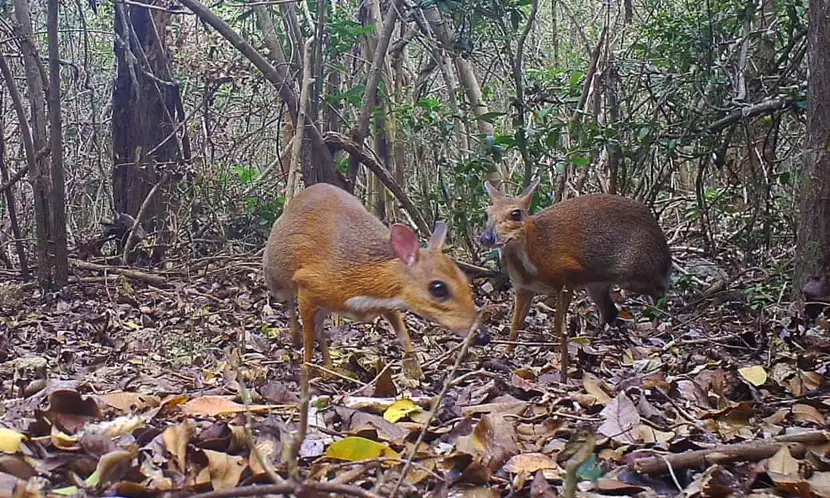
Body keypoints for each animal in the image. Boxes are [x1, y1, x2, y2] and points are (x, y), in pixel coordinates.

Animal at [264, 184, 478, 382]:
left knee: (318, 327)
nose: (481, 334)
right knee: (290, 302)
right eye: (438, 288)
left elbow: (403, 334)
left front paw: (417, 371)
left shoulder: (388, 302)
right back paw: (296, 339)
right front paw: (307, 370)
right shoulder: (307, 283)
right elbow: (308, 338)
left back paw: (329, 367)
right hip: (275, 278)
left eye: (464, 279)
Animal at [480, 181, 668, 380]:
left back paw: (657, 324)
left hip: (634, 272)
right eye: (487, 213)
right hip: (596, 285)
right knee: (611, 311)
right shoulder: (523, 289)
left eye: (516, 213)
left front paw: (557, 354)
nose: (486, 238)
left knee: (661, 291)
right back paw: (591, 340)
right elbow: (515, 326)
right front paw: (505, 353)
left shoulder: (566, 278)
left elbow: (557, 324)